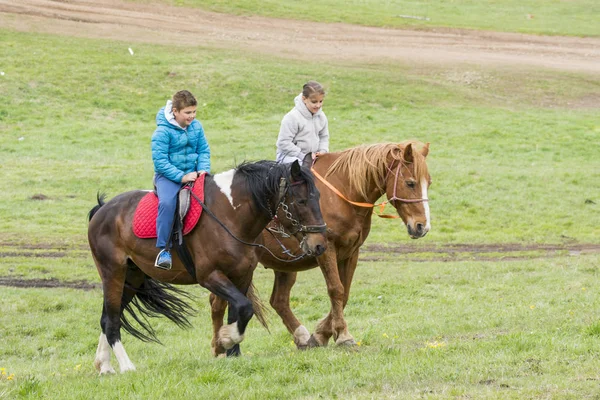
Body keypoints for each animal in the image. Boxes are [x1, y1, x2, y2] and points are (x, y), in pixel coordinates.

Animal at [86, 160, 326, 376]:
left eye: (318, 197)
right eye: (301, 201)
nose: (319, 245)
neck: (230, 214)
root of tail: (102, 210)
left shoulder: (241, 275)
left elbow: (238, 311)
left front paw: (232, 353)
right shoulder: (210, 276)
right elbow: (244, 307)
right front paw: (225, 339)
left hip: (132, 278)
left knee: (108, 317)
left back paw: (104, 365)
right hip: (113, 274)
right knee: (112, 320)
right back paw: (126, 366)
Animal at [211, 142, 432, 354]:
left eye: (428, 183)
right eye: (410, 183)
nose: (422, 226)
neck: (343, 193)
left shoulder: (351, 252)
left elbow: (345, 292)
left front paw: (321, 335)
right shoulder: (327, 250)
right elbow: (336, 290)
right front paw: (342, 335)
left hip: (283, 267)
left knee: (278, 300)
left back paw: (300, 336)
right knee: (218, 303)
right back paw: (221, 346)